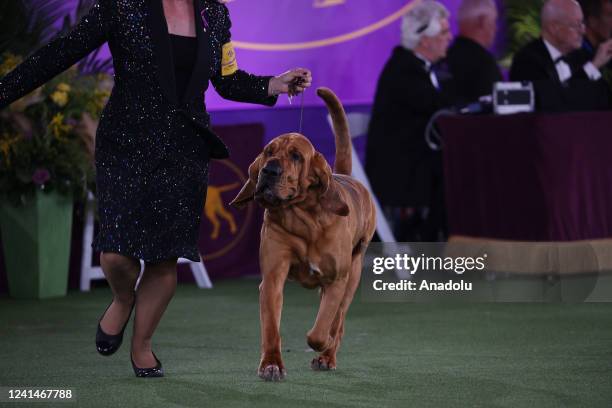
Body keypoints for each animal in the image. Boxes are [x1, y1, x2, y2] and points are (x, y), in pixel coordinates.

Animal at [230, 87, 376, 380]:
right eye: (268, 151)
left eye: (296, 156)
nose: (269, 170)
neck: (304, 220)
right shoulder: (272, 279)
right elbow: (271, 327)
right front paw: (271, 364)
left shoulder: (336, 280)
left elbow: (322, 329)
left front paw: (323, 343)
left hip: (352, 277)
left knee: (339, 321)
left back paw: (328, 356)